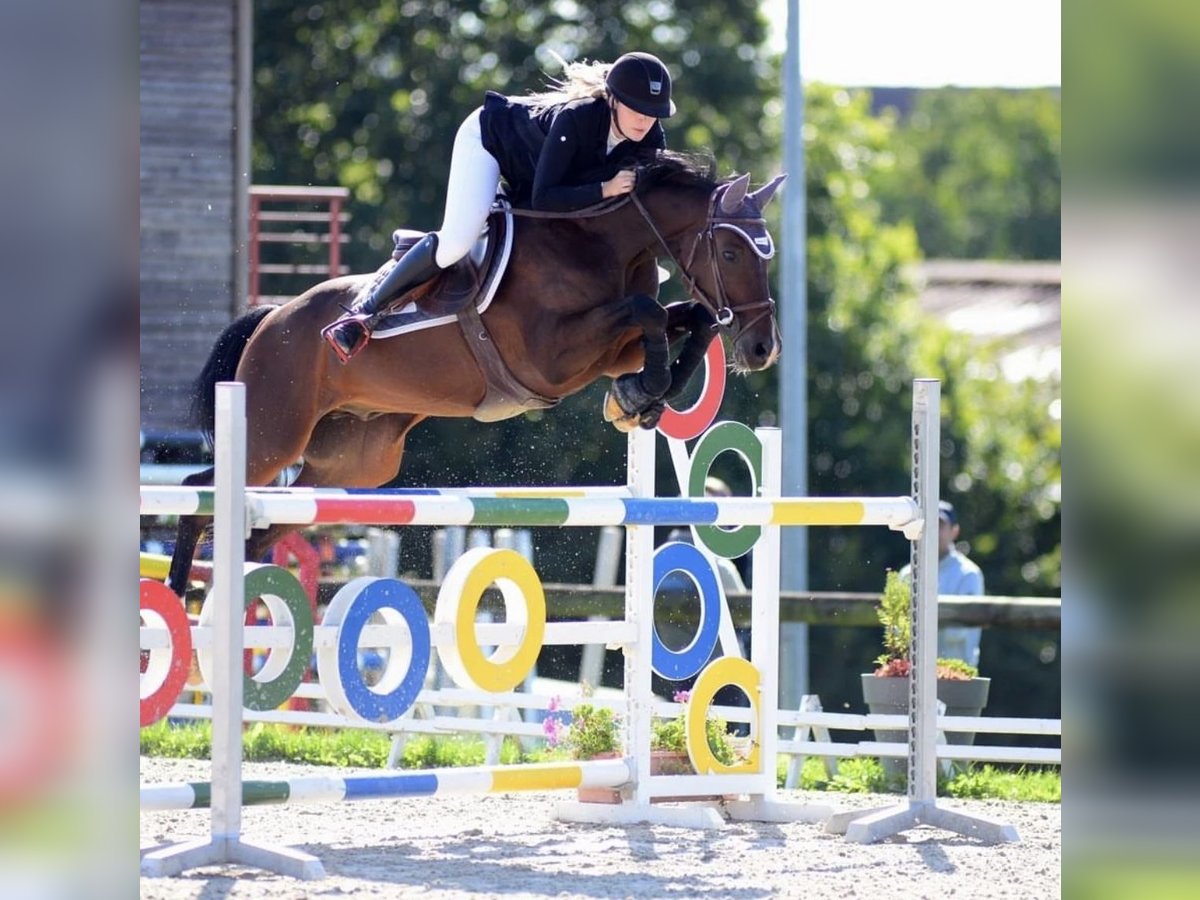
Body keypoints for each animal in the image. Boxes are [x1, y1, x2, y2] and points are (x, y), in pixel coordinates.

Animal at [169, 151, 787, 595]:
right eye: (731, 254)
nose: (762, 349)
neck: (597, 244)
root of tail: (273, 316)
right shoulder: (550, 358)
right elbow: (650, 311)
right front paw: (640, 396)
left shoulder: (611, 349)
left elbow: (689, 318)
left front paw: (642, 396)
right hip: (272, 434)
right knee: (198, 490)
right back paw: (178, 603)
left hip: (351, 465)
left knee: (258, 533)